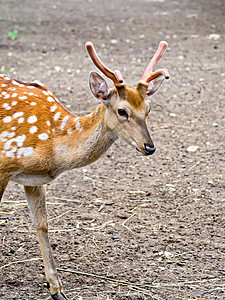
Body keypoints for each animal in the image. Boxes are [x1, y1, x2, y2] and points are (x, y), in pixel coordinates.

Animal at [0, 41, 169, 298]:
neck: (52, 147)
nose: (149, 147)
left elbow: (42, 224)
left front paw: (56, 289)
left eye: (148, 109)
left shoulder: (33, 179)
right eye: (122, 111)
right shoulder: (3, 164)